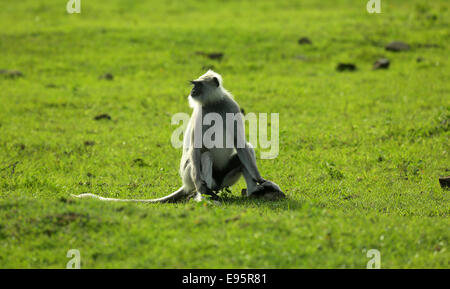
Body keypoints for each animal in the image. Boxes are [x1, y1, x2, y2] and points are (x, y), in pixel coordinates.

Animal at [73, 69, 284, 202]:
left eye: (198, 85)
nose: (192, 90)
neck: (213, 104)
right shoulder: (200, 113)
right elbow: (196, 147)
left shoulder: (230, 106)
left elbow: (239, 143)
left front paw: (261, 180)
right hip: (191, 174)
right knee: (205, 156)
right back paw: (203, 195)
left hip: (225, 179)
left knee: (246, 150)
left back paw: (254, 191)